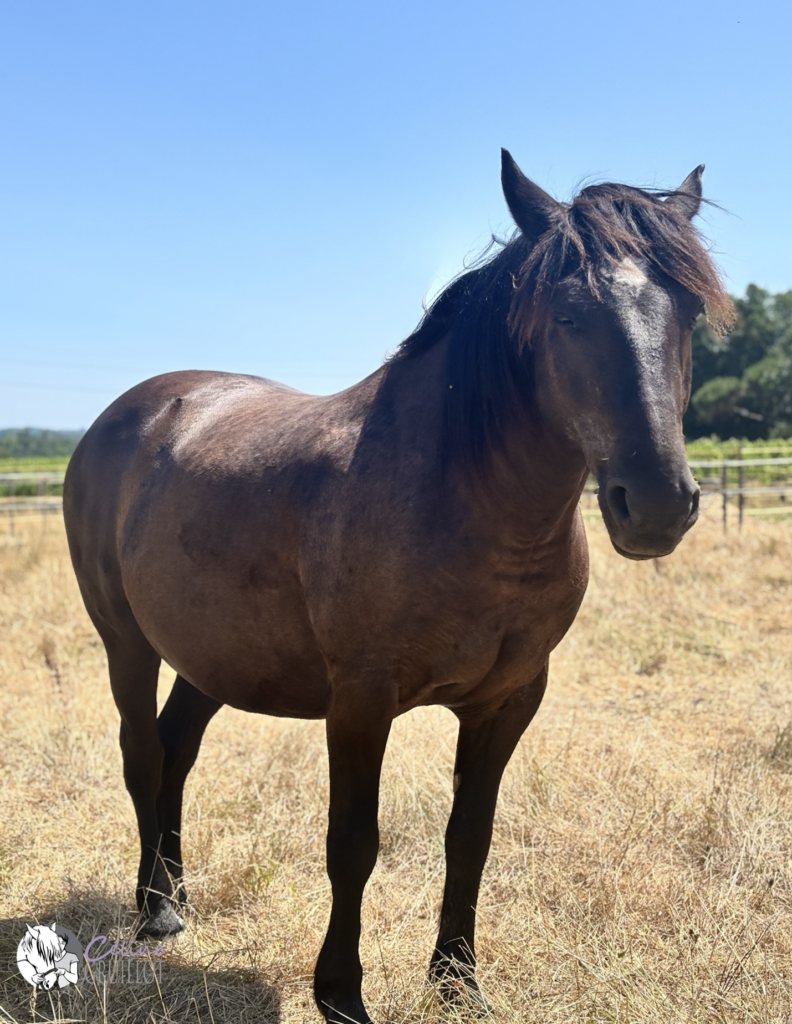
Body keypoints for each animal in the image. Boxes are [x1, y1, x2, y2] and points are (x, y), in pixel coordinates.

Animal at [63, 150, 733, 1023]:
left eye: (685, 308)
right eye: (566, 314)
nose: (655, 503)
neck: (464, 502)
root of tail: (130, 413)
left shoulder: (510, 700)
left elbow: (470, 836)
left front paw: (458, 981)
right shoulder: (360, 702)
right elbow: (353, 843)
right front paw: (341, 994)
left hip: (213, 653)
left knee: (178, 749)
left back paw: (176, 897)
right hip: (127, 641)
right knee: (143, 754)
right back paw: (153, 912)